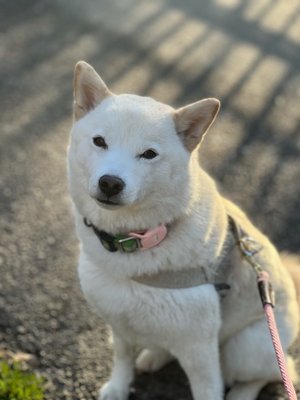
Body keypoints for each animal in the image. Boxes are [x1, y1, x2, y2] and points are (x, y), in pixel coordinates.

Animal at [68, 60, 300, 400]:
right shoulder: (117, 318)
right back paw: (153, 355)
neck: (135, 242)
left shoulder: (200, 349)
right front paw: (118, 387)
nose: (110, 183)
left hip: (244, 347)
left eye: (148, 154)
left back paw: (241, 392)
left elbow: (207, 388)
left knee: (274, 372)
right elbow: (122, 357)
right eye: (100, 141)